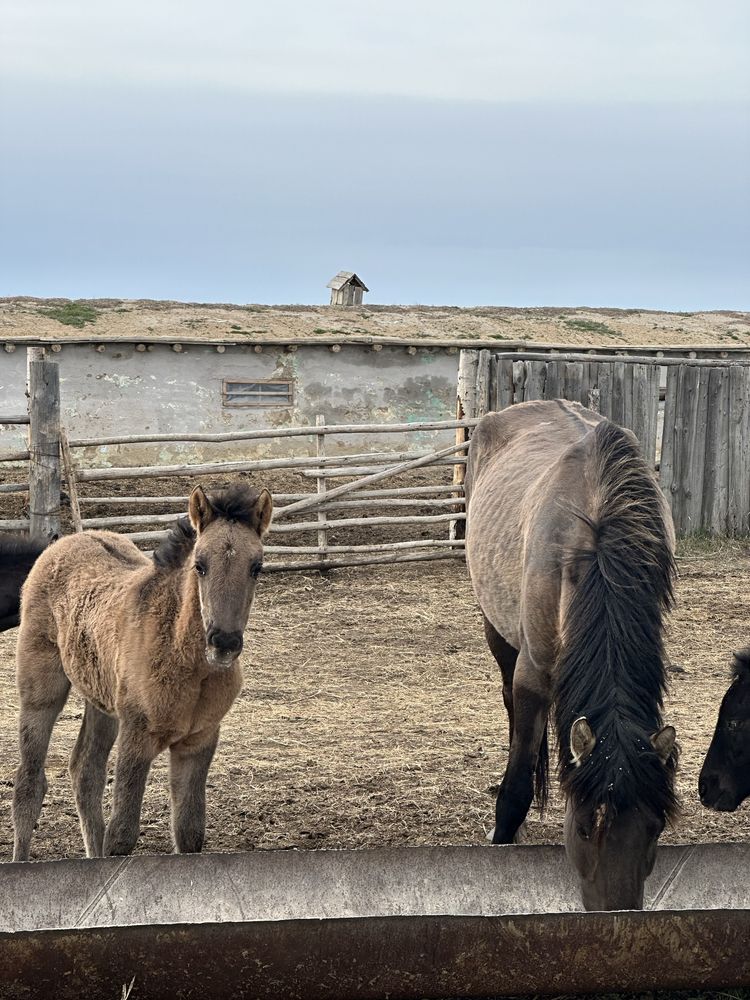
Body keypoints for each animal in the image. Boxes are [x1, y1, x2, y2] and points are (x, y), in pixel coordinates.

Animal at [11, 478, 274, 860]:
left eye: (257, 567)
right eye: (200, 565)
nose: (223, 642)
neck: (189, 664)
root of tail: (65, 542)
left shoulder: (198, 742)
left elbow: (189, 833)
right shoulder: (137, 735)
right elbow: (122, 835)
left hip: (102, 700)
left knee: (85, 772)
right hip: (41, 691)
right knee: (29, 783)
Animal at [468, 400, 680, 916]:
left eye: (655, 828)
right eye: (585, 827)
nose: (617, 916)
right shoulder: (532, 675)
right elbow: (517, 788)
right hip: (495, 628)